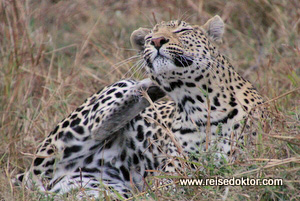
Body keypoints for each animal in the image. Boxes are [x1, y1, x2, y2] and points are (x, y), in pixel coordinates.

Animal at [16, 15, 264, 198]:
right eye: (149, 37)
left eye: (182, 31)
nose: (156, 41)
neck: (197, 105)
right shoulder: (176, 170)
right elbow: (169, 185)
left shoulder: (242, 161)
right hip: (70, 136)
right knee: (98, 126)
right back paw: (149, 88)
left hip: (102, 191)